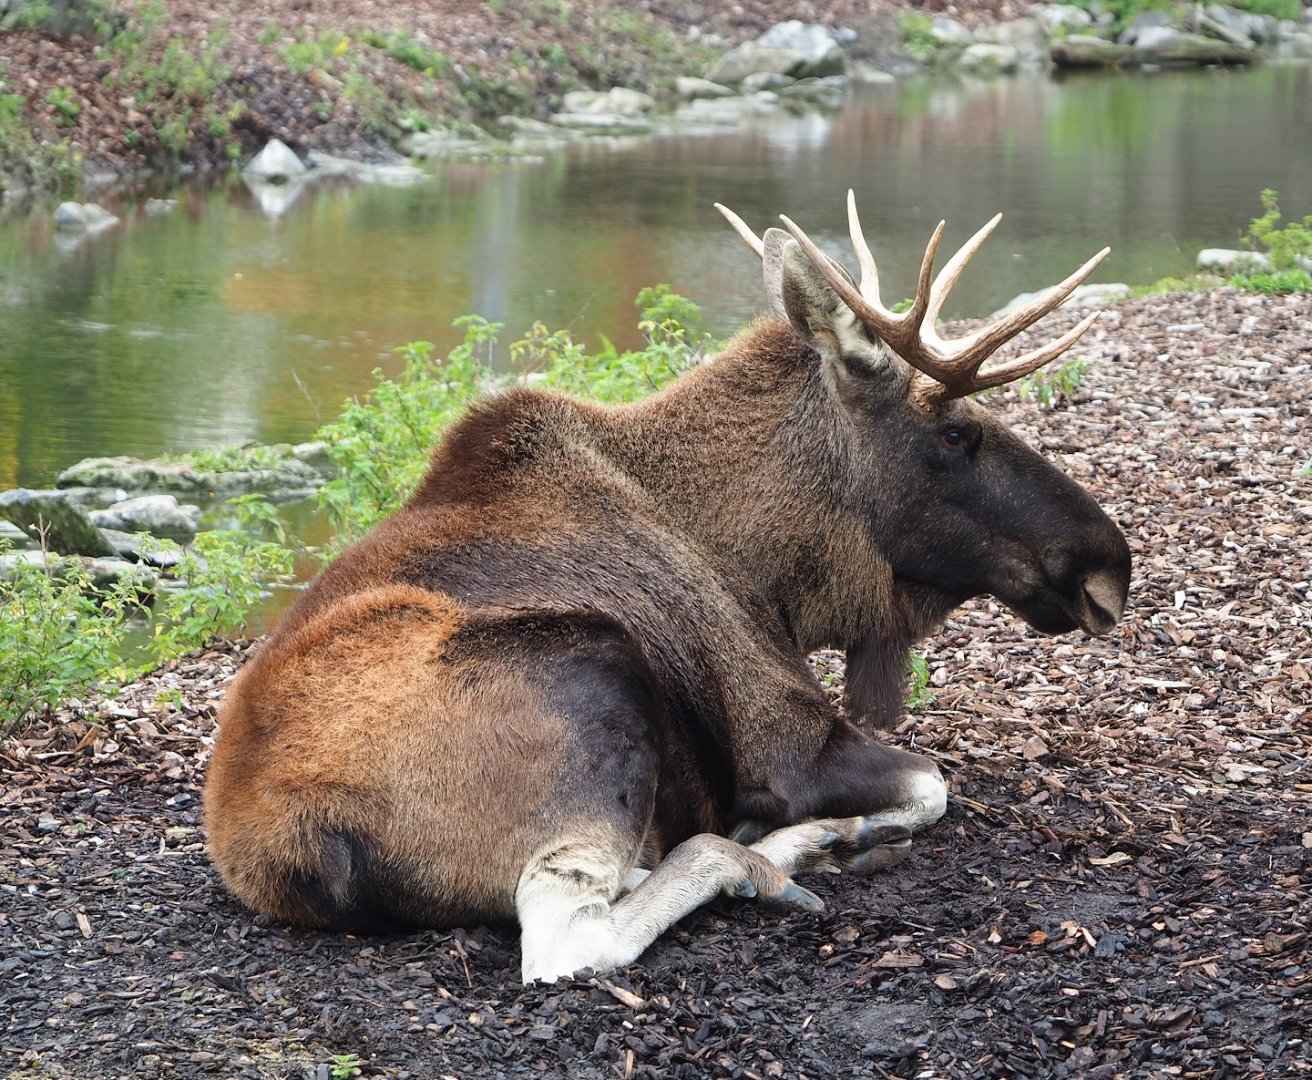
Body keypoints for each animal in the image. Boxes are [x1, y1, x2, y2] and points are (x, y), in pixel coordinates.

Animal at [203, 191, 1131, 984]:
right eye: (956, 432)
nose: (1108, 565)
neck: (770, 575)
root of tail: (292, 845)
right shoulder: (786, 740)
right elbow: (932, 783)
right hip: (589, 658)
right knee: (573, 934)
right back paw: (778, 854)